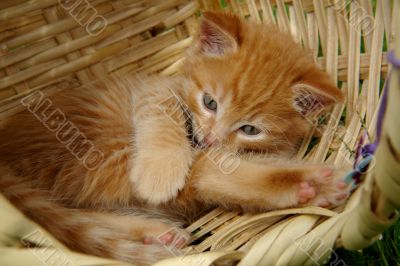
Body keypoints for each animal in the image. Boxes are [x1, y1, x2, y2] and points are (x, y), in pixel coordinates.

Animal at [0, 12, 348, 266]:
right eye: (210, 102)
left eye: (250, 130)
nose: (210, 139)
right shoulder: (152, 88)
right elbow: (163, 112)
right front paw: (161, 170)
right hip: (99, 152)